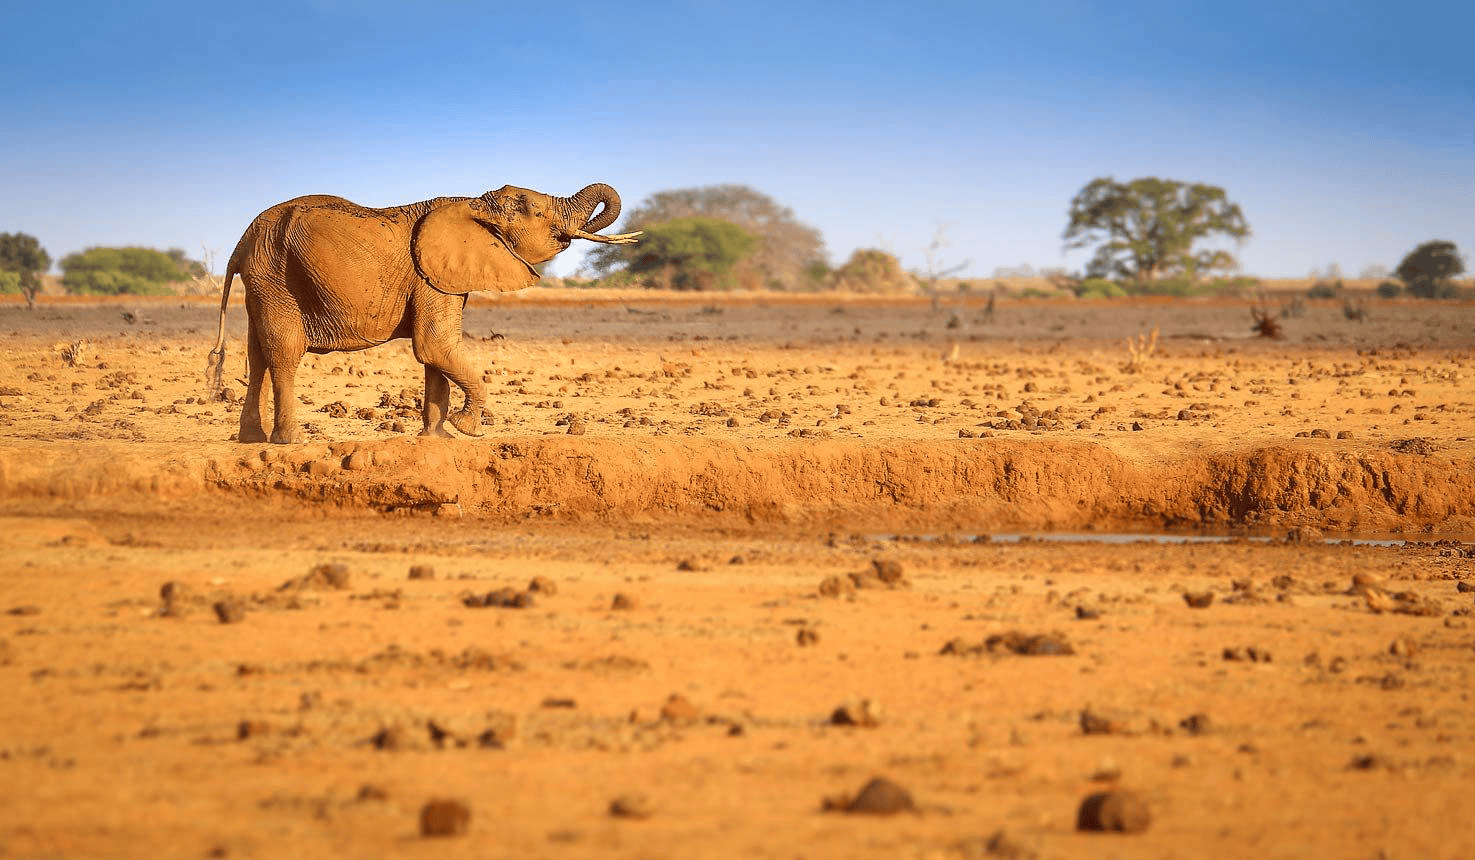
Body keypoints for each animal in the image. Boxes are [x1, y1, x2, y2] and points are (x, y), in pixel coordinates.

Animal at [206, 183, 639, 444]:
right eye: (535, 210)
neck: (474, 201)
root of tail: (240, 244)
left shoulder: (440, 277)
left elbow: (436, 353)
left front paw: (437, 439)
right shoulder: (430, 275)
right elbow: (434, 345)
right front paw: (467, 431)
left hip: (264, 280)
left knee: (257, 354)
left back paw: (251, 440)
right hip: (274, 276)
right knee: (283, 353)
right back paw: (291, 441)